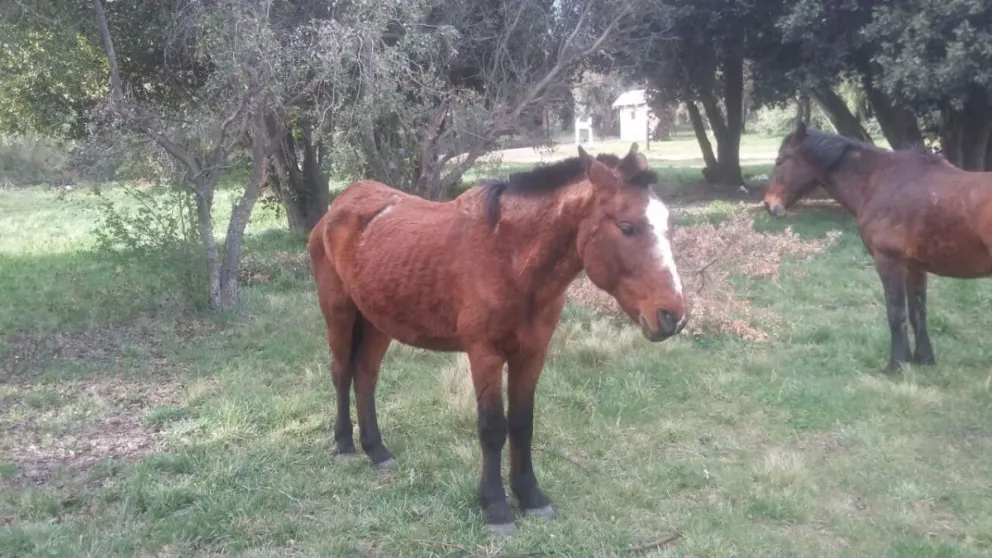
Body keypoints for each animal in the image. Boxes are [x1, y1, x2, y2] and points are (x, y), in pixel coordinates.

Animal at [307, 143, 688, 534]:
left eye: (669, 225)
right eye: (627, 227)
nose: (673, 316)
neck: (508, 257)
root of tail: (339, 205)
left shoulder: (532, 354)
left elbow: (522, 423)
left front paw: (531, 496)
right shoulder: (484, 355)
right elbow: (492, 428)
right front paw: (495, 506)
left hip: (376, 323)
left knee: (365, 376)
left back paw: (376, 450)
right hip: (340, 314)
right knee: (342, 373)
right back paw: (345, 445)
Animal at [762, 122, 992, 373]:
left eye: (780, 160)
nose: (769, 205)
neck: (881, 180)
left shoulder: (888, 261)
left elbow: (896, 312)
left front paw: (896, 364)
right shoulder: (914, 267)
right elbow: (917, 312)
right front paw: (924, 360)